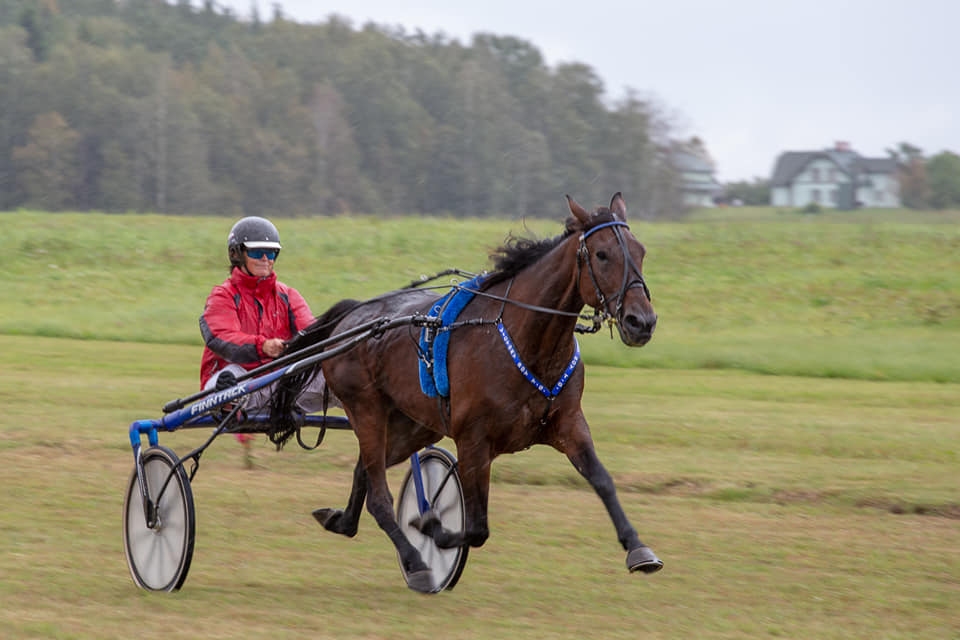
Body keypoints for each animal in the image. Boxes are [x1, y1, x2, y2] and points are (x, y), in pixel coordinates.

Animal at [270, 192, 660, 592]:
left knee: (365, 470)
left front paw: (638, 549)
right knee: (378, 494)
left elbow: (603, 481)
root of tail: (352, 316)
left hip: (414, 425)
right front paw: (432, 527)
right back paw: (416, 561)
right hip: (366, 410)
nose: (641, 322)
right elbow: (476, 527)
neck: (526, 340)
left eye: (641, 251)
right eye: (601, 254)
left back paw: (341, 520)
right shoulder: (474, 441)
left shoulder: (569, 424)